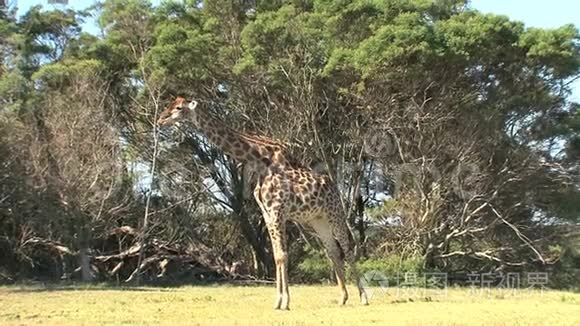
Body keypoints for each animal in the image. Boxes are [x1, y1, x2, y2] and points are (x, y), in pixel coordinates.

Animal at [157, 96, 368, 308]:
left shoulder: (278, 210)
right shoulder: (267, 213)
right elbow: (276, 255)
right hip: (317, 221)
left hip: (335, 214)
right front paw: (278, 301)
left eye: (178, 108)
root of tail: (334, 187)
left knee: (347, 249)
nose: (160, 119)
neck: (257, 158)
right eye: (170, 105)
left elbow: (282, 254)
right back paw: (343, 297)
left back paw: (363, 297)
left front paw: (285, 301)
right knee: (333, 251)